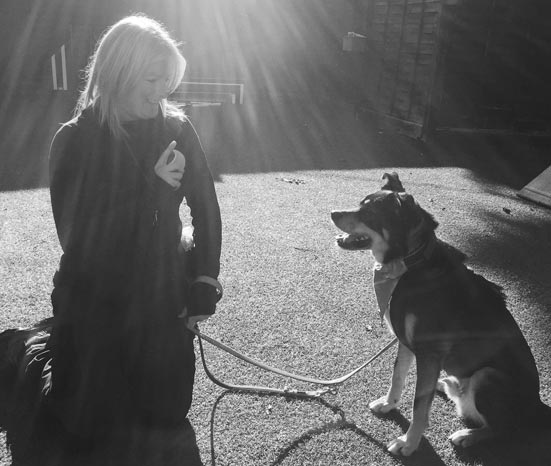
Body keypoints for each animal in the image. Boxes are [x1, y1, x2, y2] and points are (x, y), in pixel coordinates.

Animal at [330, 172, 548, 456]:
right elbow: (397, 377)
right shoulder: (406, 343)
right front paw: (389, 404)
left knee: (504, 430)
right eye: (360, 203)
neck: (411, 265)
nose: (333, 213)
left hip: (488, 375)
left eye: (369, 213)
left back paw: (468, 435)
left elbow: (419, 404)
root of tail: (538, 409)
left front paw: (408, 443)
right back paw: (447, 386)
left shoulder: (429, 352)